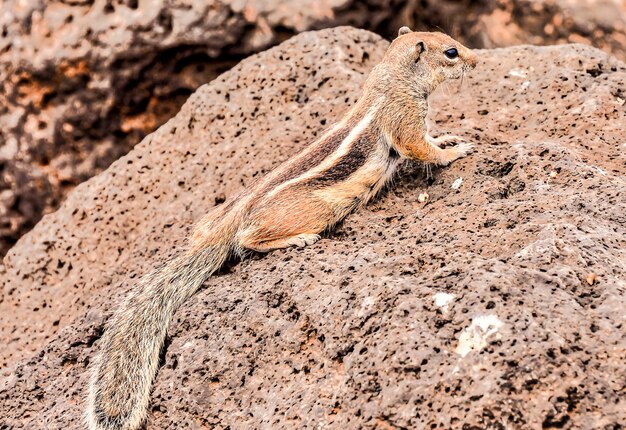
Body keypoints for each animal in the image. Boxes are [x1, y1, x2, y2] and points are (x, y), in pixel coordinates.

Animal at [85, 27, 476, 430]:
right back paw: (298, 239)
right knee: (247, 241)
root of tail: (224, 226)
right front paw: (455, 151)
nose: (477, 60)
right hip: (315, 210)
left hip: (215, 217)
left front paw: (447, 137)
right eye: (451, 52)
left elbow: (430, 141)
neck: (394, 77)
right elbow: (421, 149)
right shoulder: (405, 122)